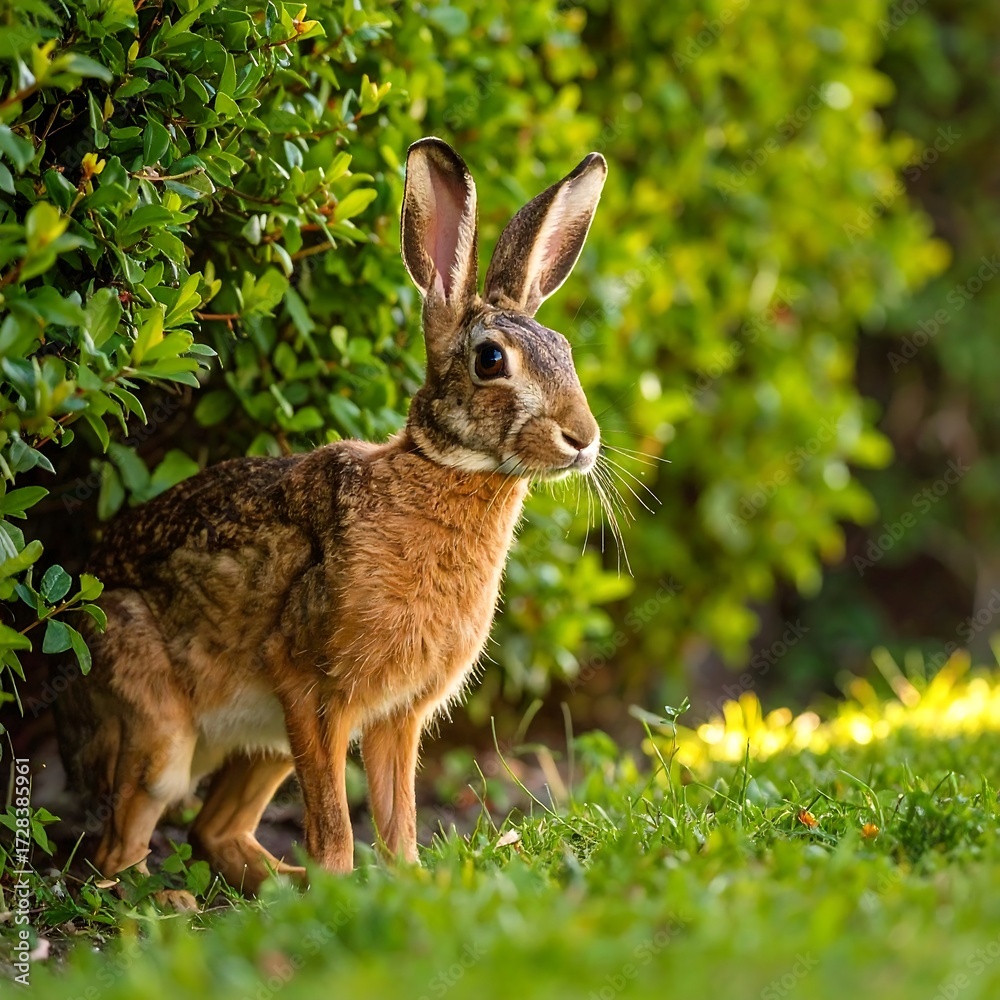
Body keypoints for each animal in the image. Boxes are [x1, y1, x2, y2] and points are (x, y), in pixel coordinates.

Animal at [55, 137, 607, 894]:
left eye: (567, 352)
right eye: (492, 360)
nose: (583, 439)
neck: (442, 471)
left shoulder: (397, 715)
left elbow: (398, 814)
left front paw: (409, 882)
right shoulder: (312, 689)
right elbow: (338, 822)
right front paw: (347, 889)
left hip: (263, 742)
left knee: (213, 832)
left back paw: (279, 887)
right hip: (163, 731)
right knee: (120, 850)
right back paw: (175, 902)